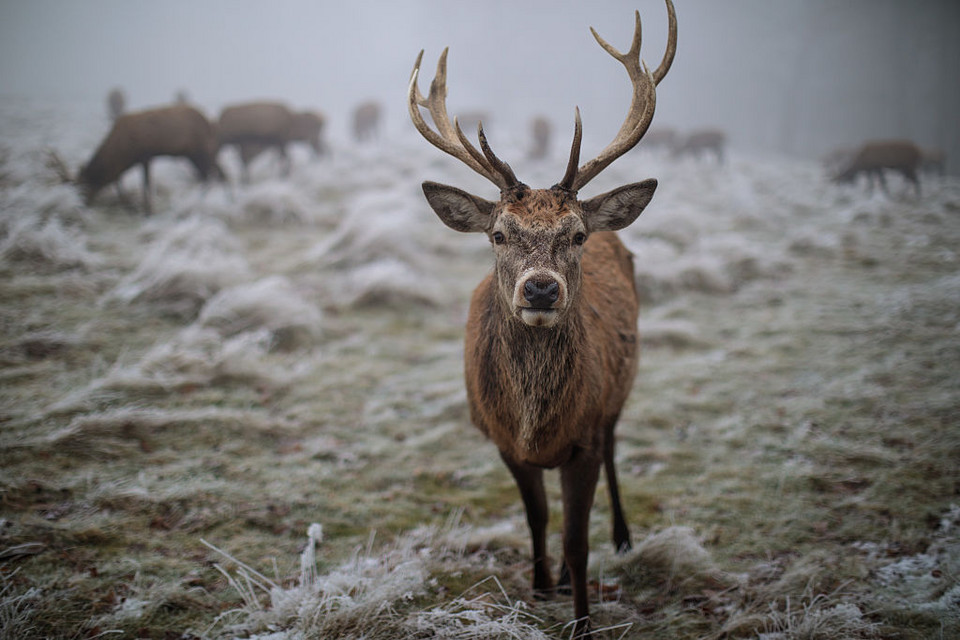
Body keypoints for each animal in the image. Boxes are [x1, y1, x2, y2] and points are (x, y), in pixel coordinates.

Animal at [408, 1, 680, 636]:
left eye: (576, 235)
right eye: (498, 233)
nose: (539, 288)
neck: (538, 425)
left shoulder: (584, 437)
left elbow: (578, 542)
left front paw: (581, 618)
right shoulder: (503, 441)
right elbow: (536, 520)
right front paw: (540, 584)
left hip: (621, 390)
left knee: (616, 450)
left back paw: (624, 537)